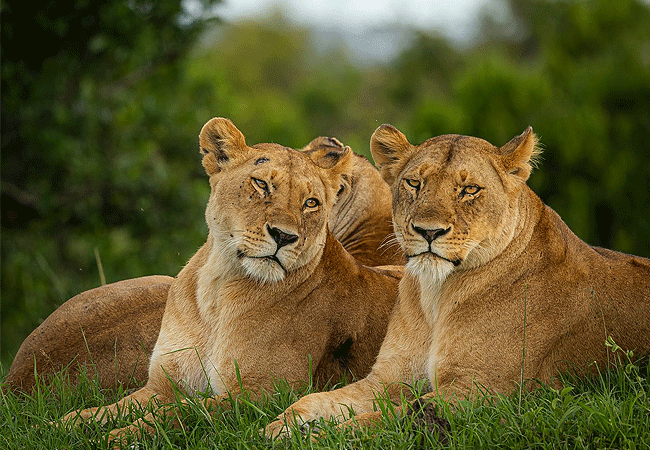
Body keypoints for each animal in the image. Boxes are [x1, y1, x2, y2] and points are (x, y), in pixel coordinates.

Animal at [55, 118, 400, 444]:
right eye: (261, 184)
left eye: (311, 202)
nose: (284, 236)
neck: (219, 288)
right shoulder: (164, 384)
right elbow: (107, 410)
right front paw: (65, 424)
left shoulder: (264, 393)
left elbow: (180, 412)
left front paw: (115, 437)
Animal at [262, 124, 648, 440]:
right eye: (414, 183)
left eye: (469, 190)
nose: (428, 231)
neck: (438, 294)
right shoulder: (389, 377)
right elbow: (312, 401)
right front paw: (278, 428)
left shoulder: (483, 390)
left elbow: (382, 420)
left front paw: (316, 438)